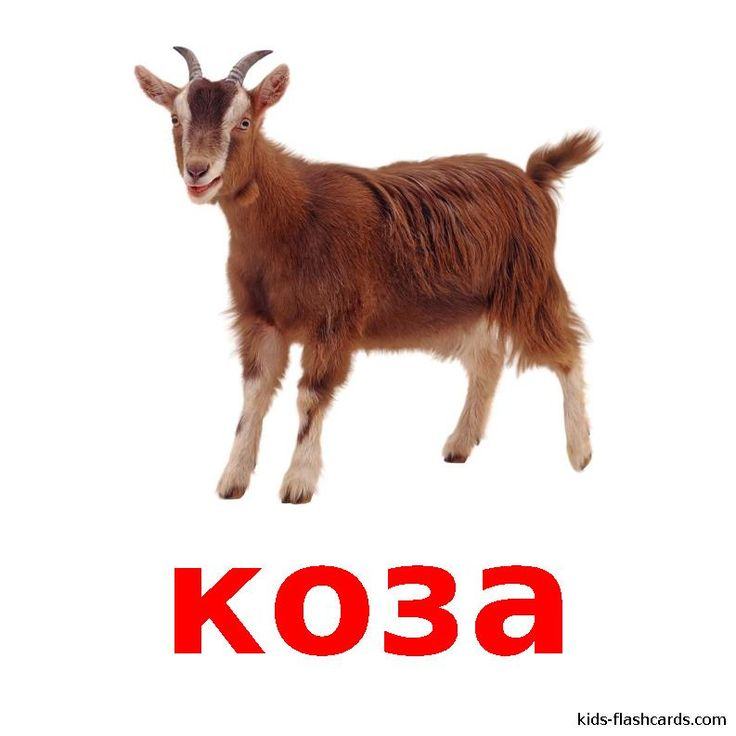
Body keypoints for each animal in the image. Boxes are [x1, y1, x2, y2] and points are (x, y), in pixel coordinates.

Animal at [135, 48, 597, 504]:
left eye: (245, 122)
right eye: (175, 118)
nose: (198, 171)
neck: (293, 217)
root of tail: (533, 178)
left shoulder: (334, 319)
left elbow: (310, 396)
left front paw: (298, 483)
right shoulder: (259, 319)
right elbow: (254, 395)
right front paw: (233, 479)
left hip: (529, 285)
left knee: (567, 350)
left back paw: (580, 452)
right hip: (467, 307)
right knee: (487, 361)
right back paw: (461, 443)